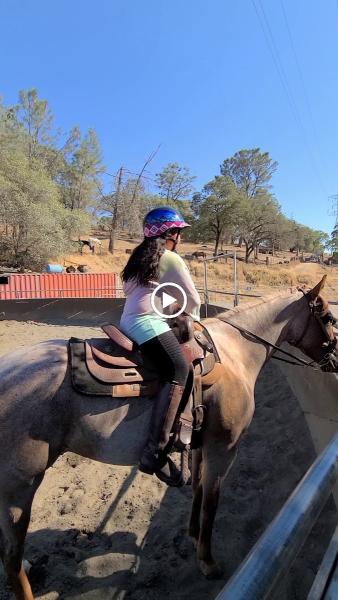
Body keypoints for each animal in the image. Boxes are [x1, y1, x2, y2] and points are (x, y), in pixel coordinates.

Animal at [0, 278, 336, 600]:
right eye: (328, 317)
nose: (334, 357)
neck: (234, 353)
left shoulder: (201, 446)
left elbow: (198, 488)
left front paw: (192, 533)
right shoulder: (224, 449)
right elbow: (212, 501)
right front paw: (207, 561)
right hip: (20, 489)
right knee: (11, 559)